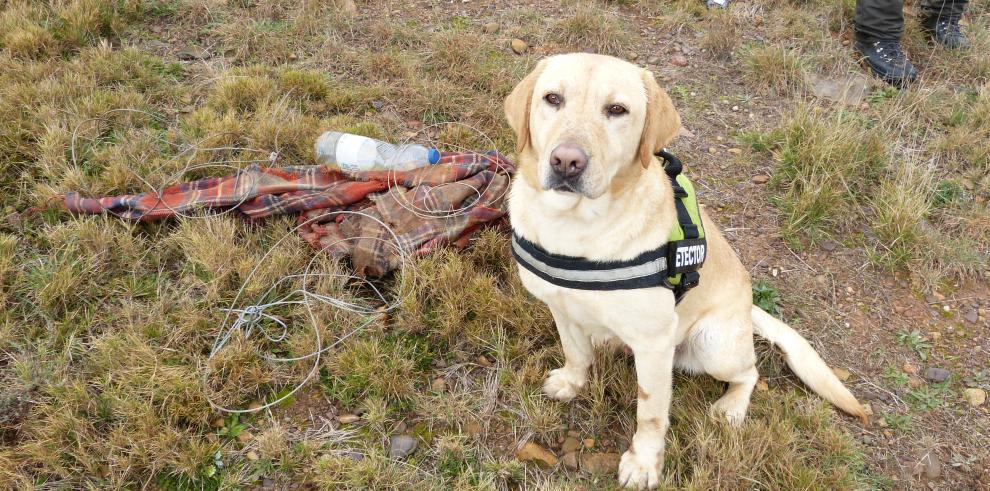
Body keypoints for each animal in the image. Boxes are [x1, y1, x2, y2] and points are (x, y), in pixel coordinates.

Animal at [508, 53, 864, 488]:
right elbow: (576, 353)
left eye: (617, 110)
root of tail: (748, 308)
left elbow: (650, 412)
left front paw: (644, 464)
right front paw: (572, 383)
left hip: (714, 345)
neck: (574, 229)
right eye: (552, 98)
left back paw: (731, 407)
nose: (566, 162)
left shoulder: (654, 345)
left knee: (750, 372)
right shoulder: (561, 307)